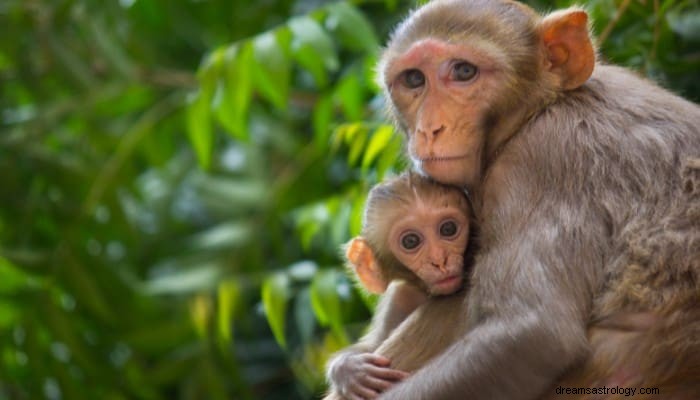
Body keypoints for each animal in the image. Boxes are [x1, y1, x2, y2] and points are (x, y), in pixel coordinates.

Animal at [326, 172, 470, 400]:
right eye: (411, 241)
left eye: (448, 229)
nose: (439, 260)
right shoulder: (401, 296)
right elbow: (374, 345)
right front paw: (348, 370)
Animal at [360, 0, 700, 400]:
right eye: (414, 79)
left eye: (463, 71)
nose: (430, 128)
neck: (543, 107)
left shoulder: (538, 163)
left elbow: (533, 333)